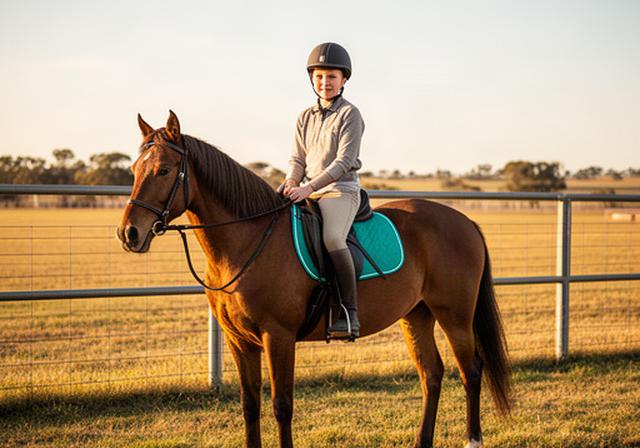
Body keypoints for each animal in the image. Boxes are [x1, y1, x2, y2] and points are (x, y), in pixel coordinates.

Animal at [117, 111, 511, 448]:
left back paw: (472, 439)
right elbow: (250, 406)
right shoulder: (239, 341)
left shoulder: (278, 337)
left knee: (471, 370)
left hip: (454, 315)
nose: (129, 234)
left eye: (164, 170)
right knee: (432, 374)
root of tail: (465, 220)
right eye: (135, 169)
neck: (249, 239)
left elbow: (282, 406)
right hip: (416, 315)